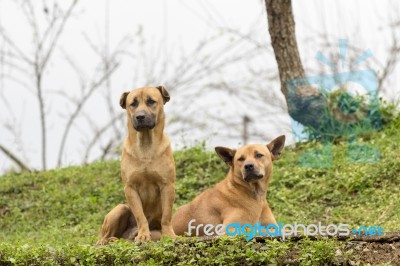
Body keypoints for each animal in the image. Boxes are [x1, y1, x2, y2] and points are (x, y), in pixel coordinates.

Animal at [96, 85, 176, 245]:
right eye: (133, 103)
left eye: (151, 101)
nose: (140, 116)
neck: (145, 144)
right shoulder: (130, 187)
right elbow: (140, 215)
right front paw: (143, 235)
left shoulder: (167, 185)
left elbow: (166, 215)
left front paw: (169, 235)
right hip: (120, 209)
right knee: (105, 235)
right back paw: (107, 240)